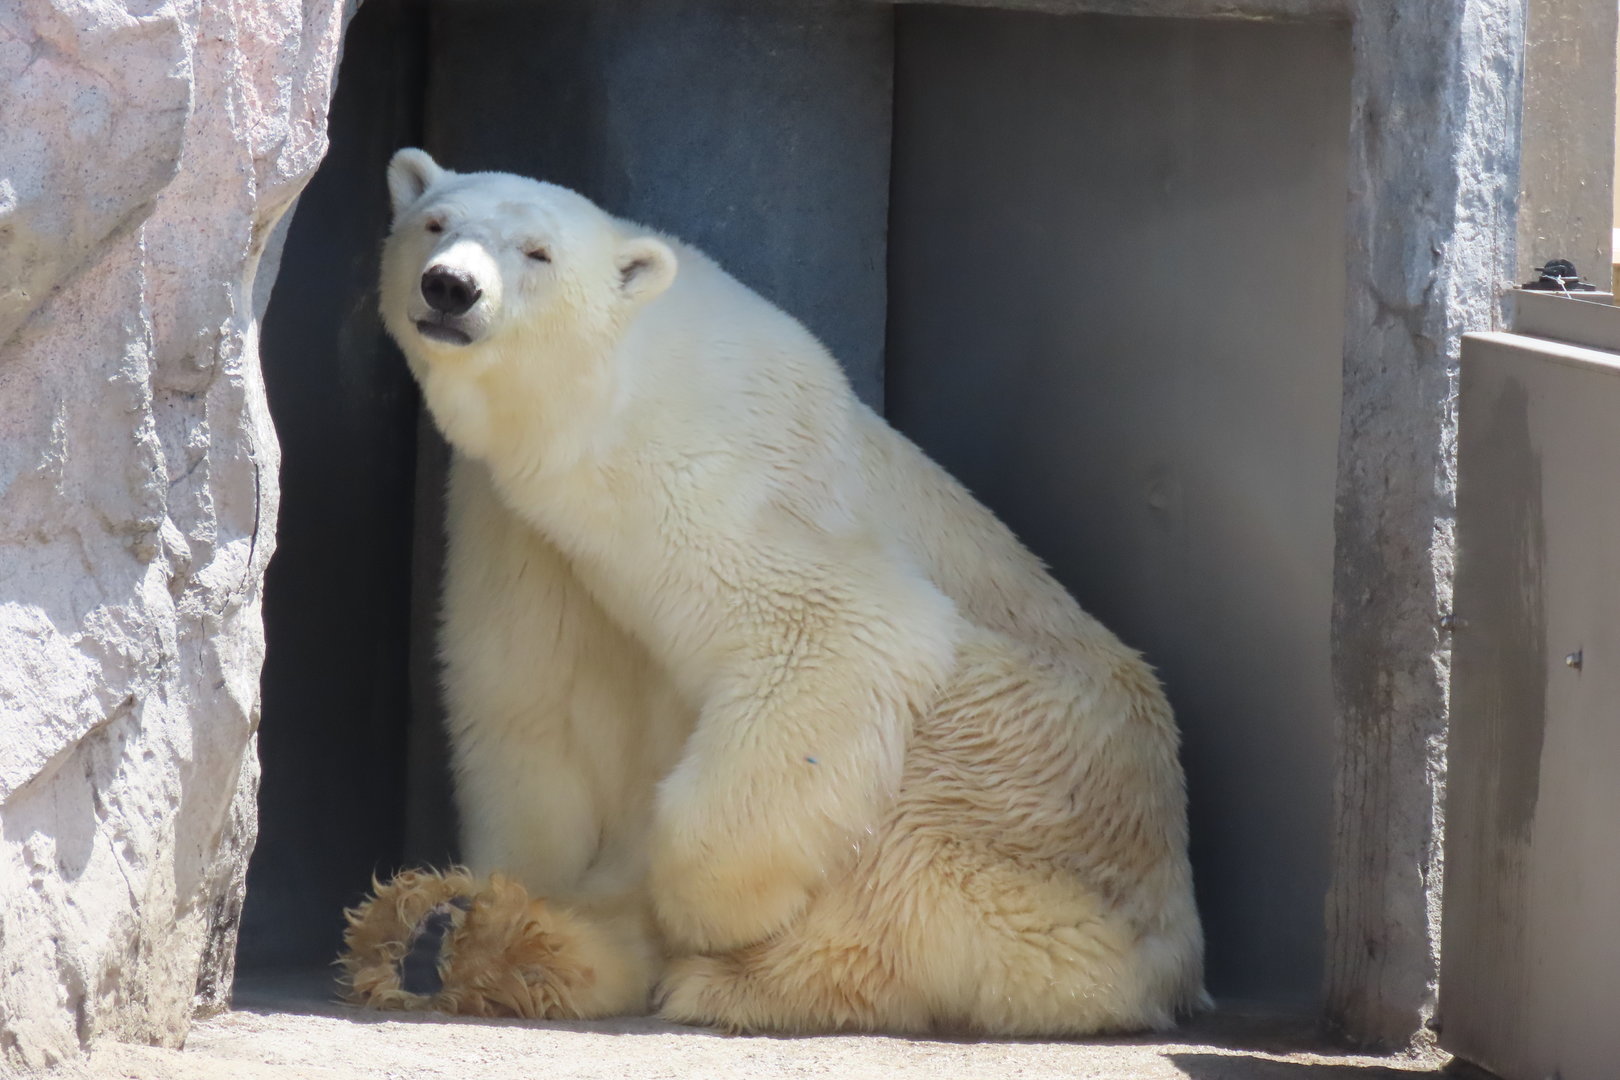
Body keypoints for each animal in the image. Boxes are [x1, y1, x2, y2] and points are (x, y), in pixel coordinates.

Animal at [366, 147, 1206, 1035]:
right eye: (434, 223)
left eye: (538, 253)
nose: (450, 287)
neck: (616, 388)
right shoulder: (514, 517)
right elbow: (531, 702)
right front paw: (503, 890)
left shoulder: (714, 478)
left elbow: (838, 628)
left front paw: (708, 908)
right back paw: (444, 937)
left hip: (1031, 764)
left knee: (923, 835)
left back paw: (733, 981)